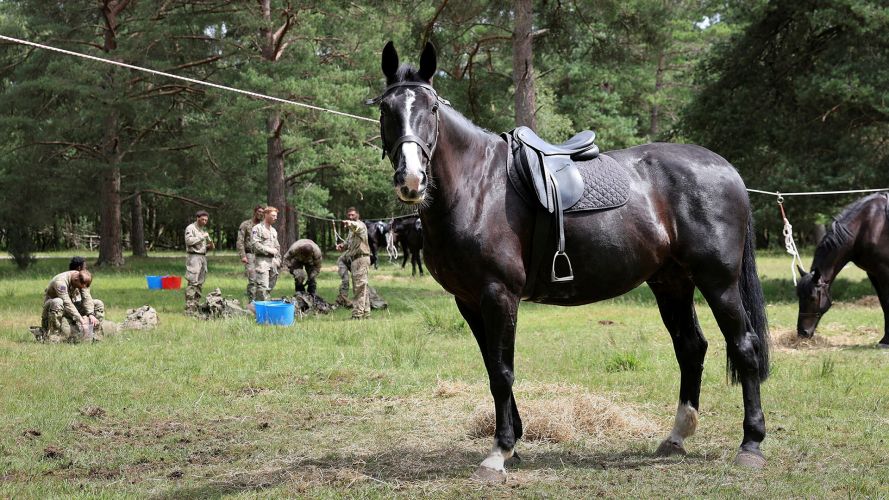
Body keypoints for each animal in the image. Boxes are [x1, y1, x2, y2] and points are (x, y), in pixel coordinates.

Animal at [370, 41, 770, 481]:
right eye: (386, 108)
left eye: (431, 108)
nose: (411, 180)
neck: (477, 187)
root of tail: (727, 170)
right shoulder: (469, 301)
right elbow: (493, 367)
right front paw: (514, 443)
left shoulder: (499, 295)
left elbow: (503, 371)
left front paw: (499, 452)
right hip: (672, 283)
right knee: (691, 347)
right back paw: (676, 437)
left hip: (718, 282)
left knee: (744, 347)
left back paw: (751, 444)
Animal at [796, 192, 889, 347]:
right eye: (798, 296)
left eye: (812, 298)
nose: (802, 332)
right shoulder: (873, 273)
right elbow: (883, 303)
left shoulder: (884, 272)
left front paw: (886, 341)